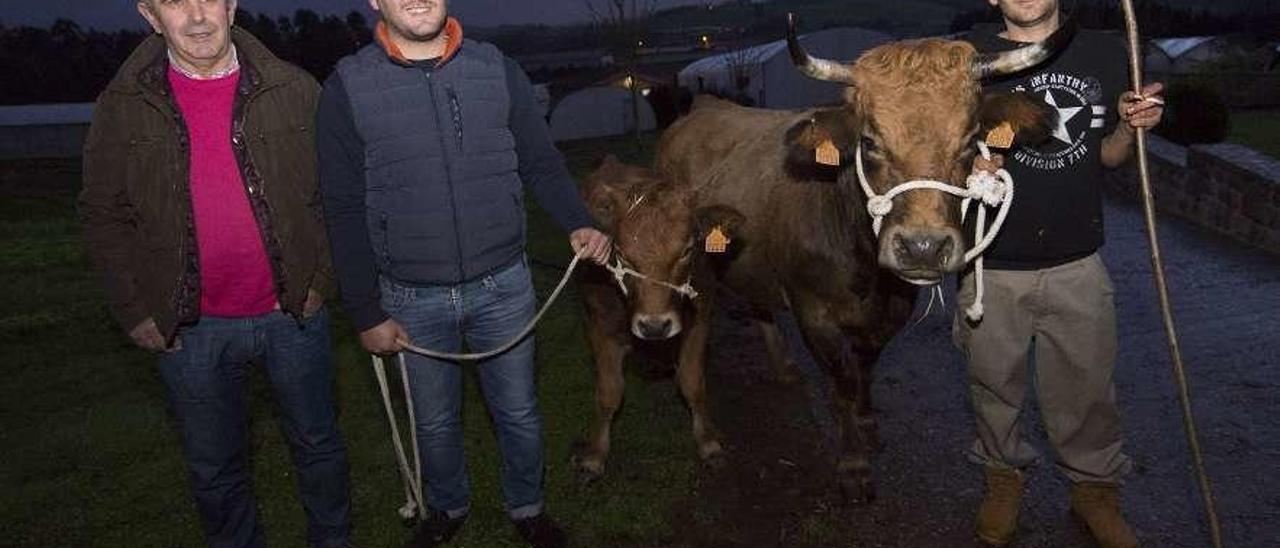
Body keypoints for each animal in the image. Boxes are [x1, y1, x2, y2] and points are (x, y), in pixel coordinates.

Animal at [655, 14, 1064, 501]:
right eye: (868, 141)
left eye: (970, 141)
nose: (923, 246)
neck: (864, 264)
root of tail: (701, 109)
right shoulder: (815, 314)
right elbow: (843, 383)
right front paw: (852, 463)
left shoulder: (895, 307)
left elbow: (867, 364)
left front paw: (867, 424)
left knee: (760, 305)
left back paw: (783, 366)